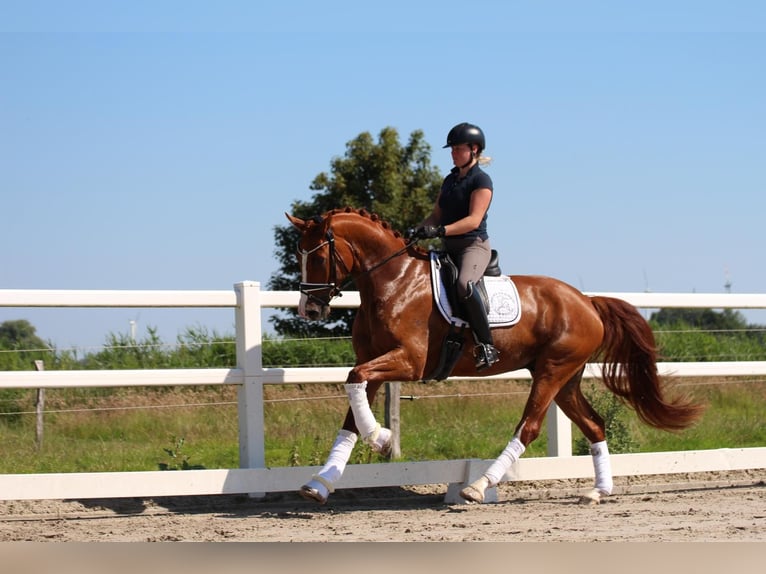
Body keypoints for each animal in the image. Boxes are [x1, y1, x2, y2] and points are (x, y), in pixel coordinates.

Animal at [286, 207, 704, 504]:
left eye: (317, 257)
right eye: (299, 254)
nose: (309, 310)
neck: (394, 282)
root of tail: (586, 301)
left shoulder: (409, 361)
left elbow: (354, 380)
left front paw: (382, 439)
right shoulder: (376, 362)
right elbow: (351, 412)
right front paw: (320, 483)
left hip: (552, 372)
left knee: (529, 427)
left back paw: (478, 486)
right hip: (566, 378)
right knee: (594, 425)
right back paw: (598, 491)